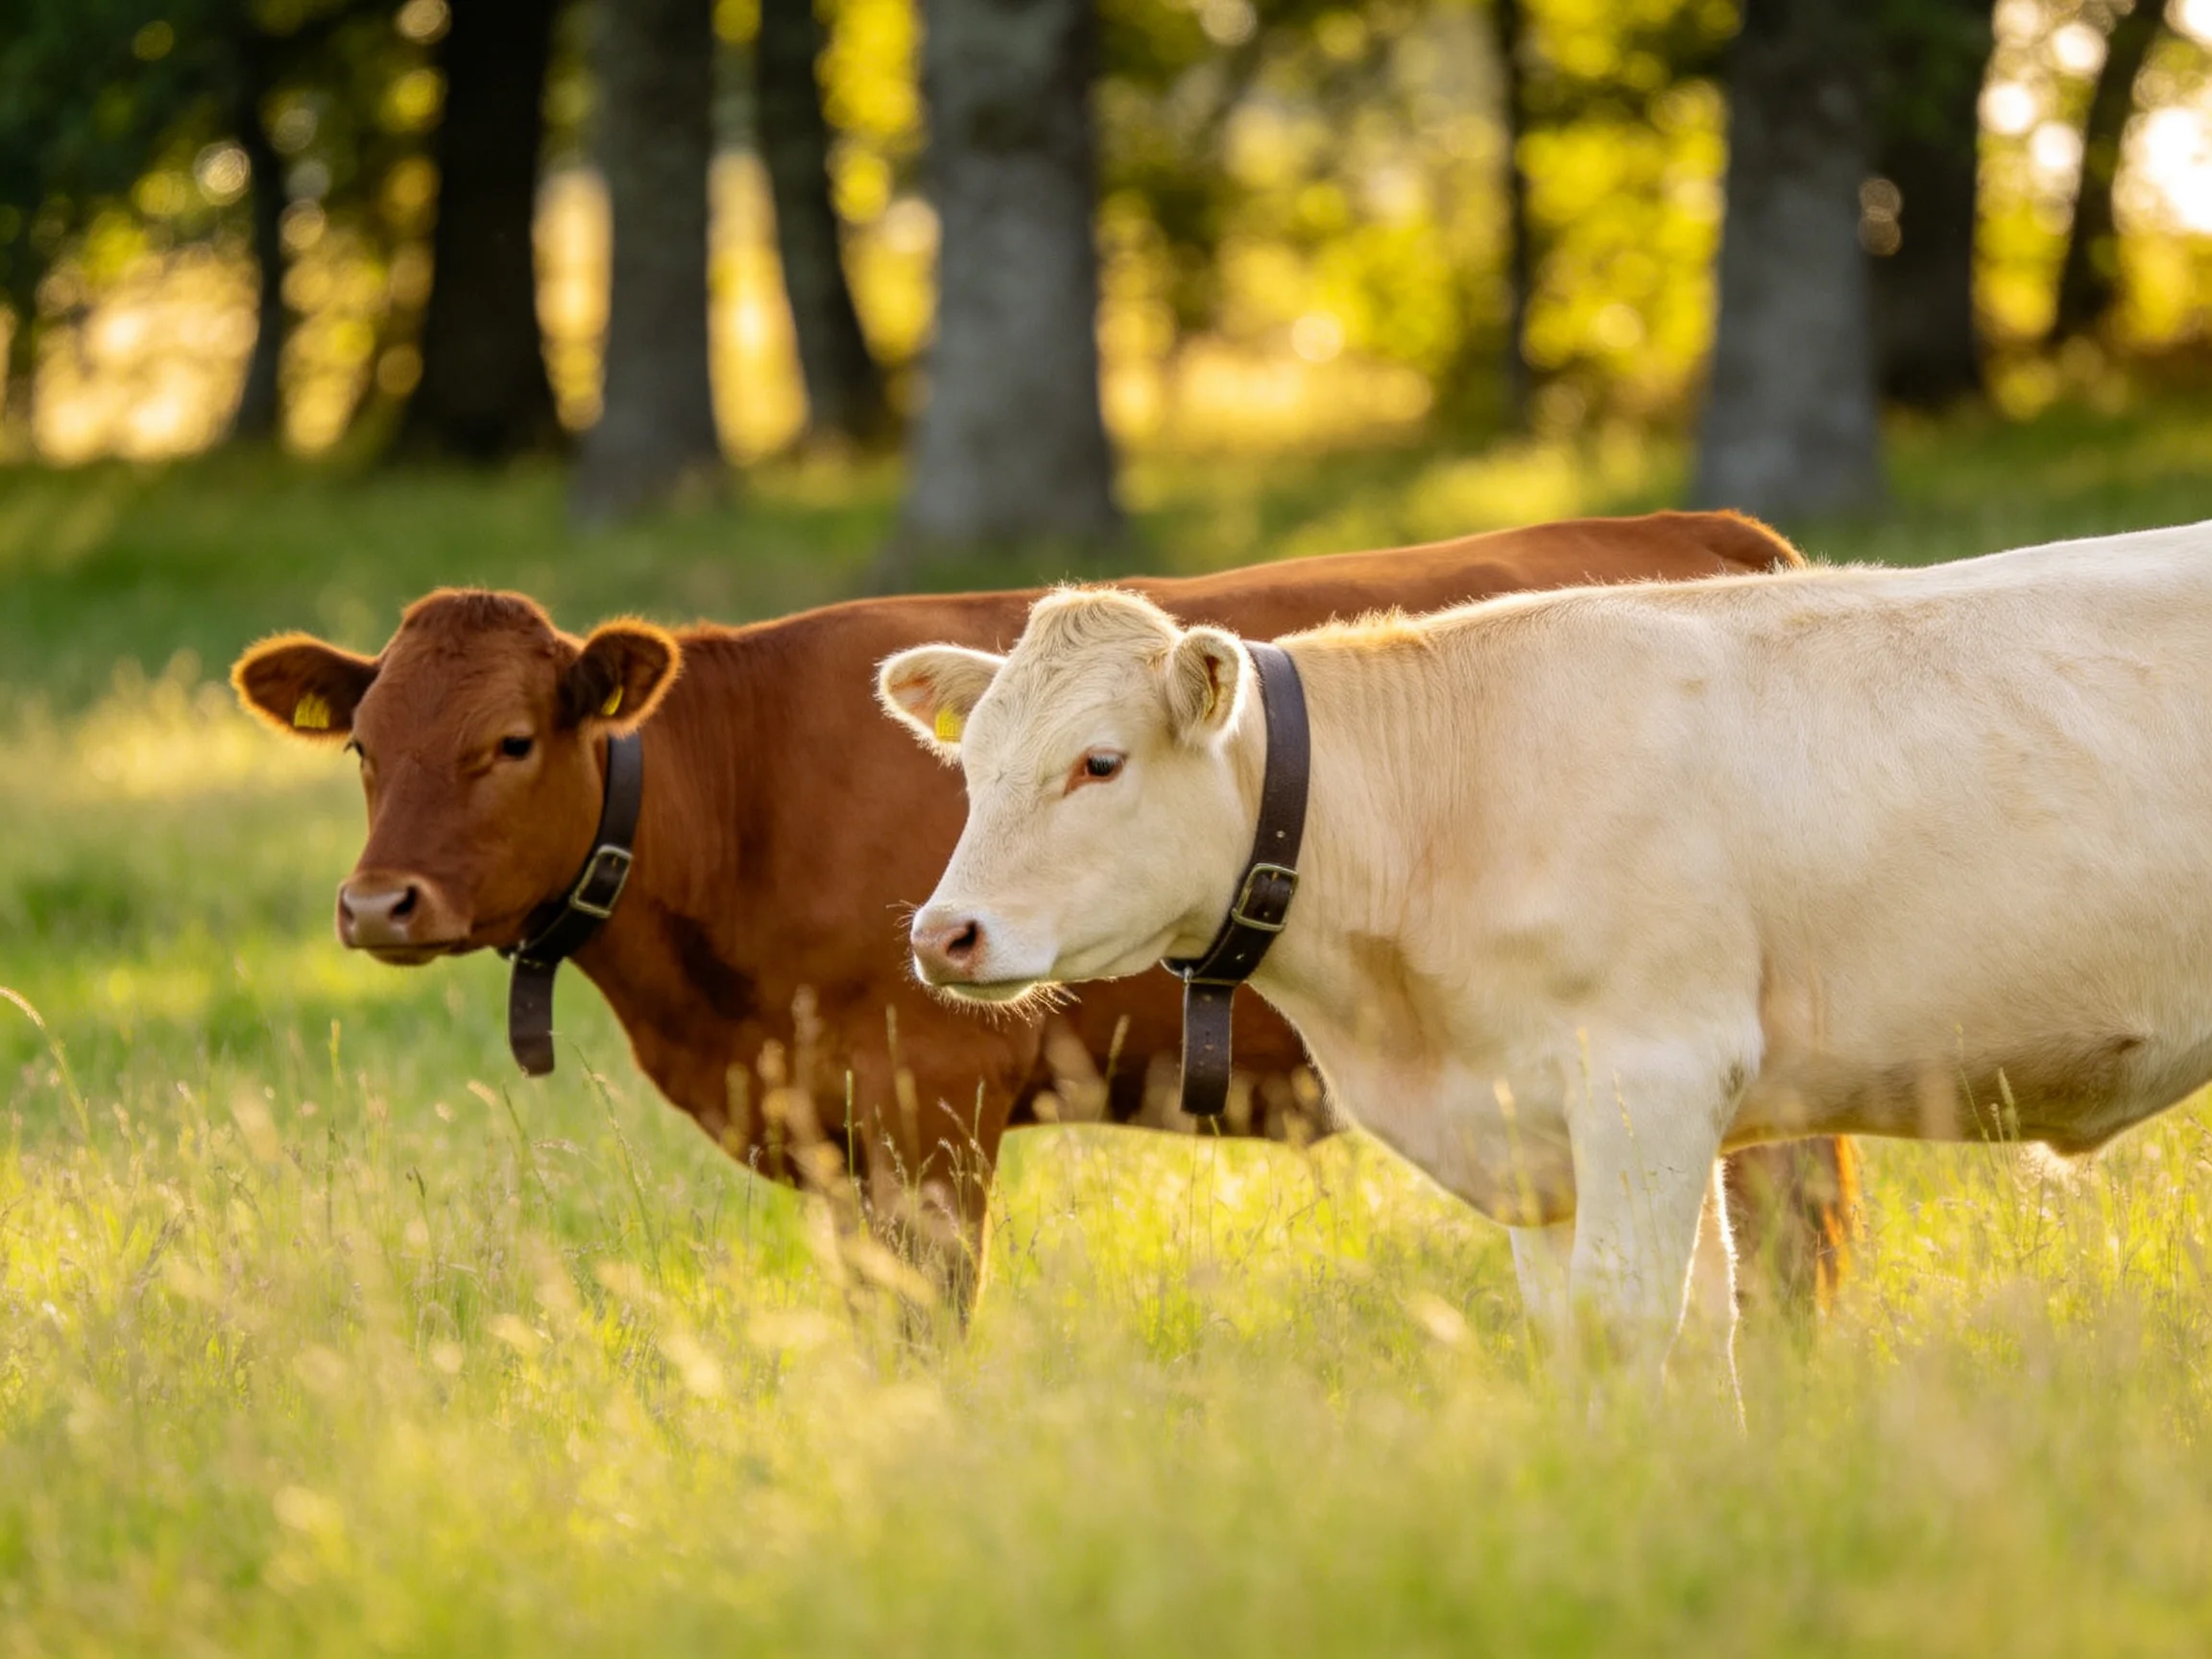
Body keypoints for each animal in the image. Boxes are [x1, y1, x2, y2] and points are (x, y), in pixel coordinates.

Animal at [230, 511, 1852, 1318]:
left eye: (511, 741)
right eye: (363, 742)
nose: (377, 903)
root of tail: (1717, 529)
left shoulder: (937, 1098)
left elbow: (930, 1322)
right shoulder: (830, 1130)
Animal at [882, 519, 2212, 1376]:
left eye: (1098, 762)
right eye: (970, 763)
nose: (945, 933)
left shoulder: (1656, 1076)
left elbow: (1631, 1324)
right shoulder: (1537, 1127)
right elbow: (1644, 1330)